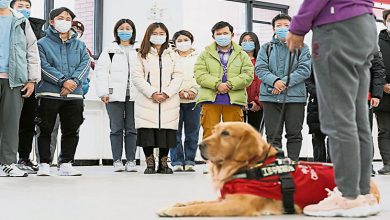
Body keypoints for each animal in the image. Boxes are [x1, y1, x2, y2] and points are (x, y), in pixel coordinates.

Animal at [157, 122, 380, 217]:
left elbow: (202, 207)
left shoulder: (238, 205)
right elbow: (196, 201)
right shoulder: (227, 198)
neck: (250, 166)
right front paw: (177, 204)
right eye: (215, 131)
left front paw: (175, 211)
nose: (200, 145)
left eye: (226, 134)